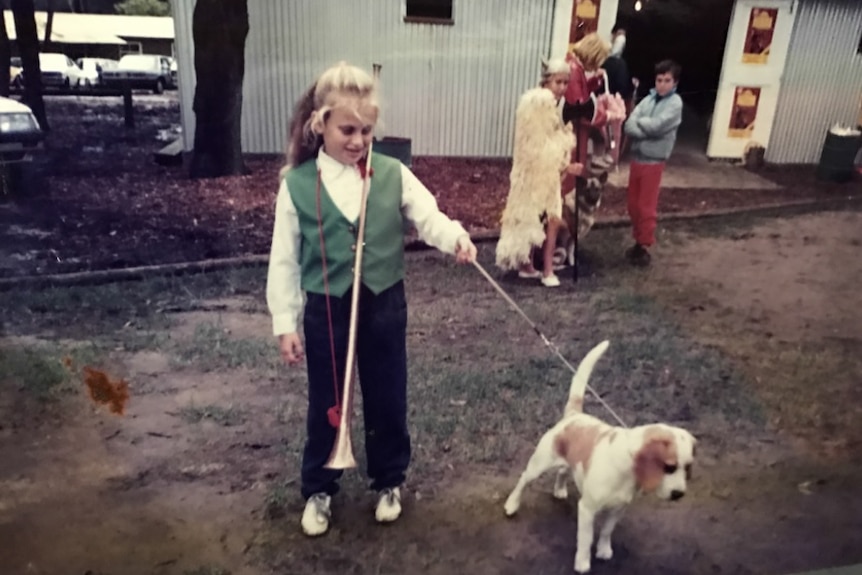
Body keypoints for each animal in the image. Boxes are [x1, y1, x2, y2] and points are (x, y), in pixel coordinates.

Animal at [506, 342, 696, 572]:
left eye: (687, 468)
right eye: (669, 467)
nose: (679, 494)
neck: (626, 468)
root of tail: (574, 415)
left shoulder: (618, 509)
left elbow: (606, 531)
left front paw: (604, 550)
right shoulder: (587, 509)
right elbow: (586, 540)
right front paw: (582, 563)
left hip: (569, 462)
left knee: (562, 471)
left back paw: (559, 489)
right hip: (539, 463)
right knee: (523, 480)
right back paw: (512, 504)